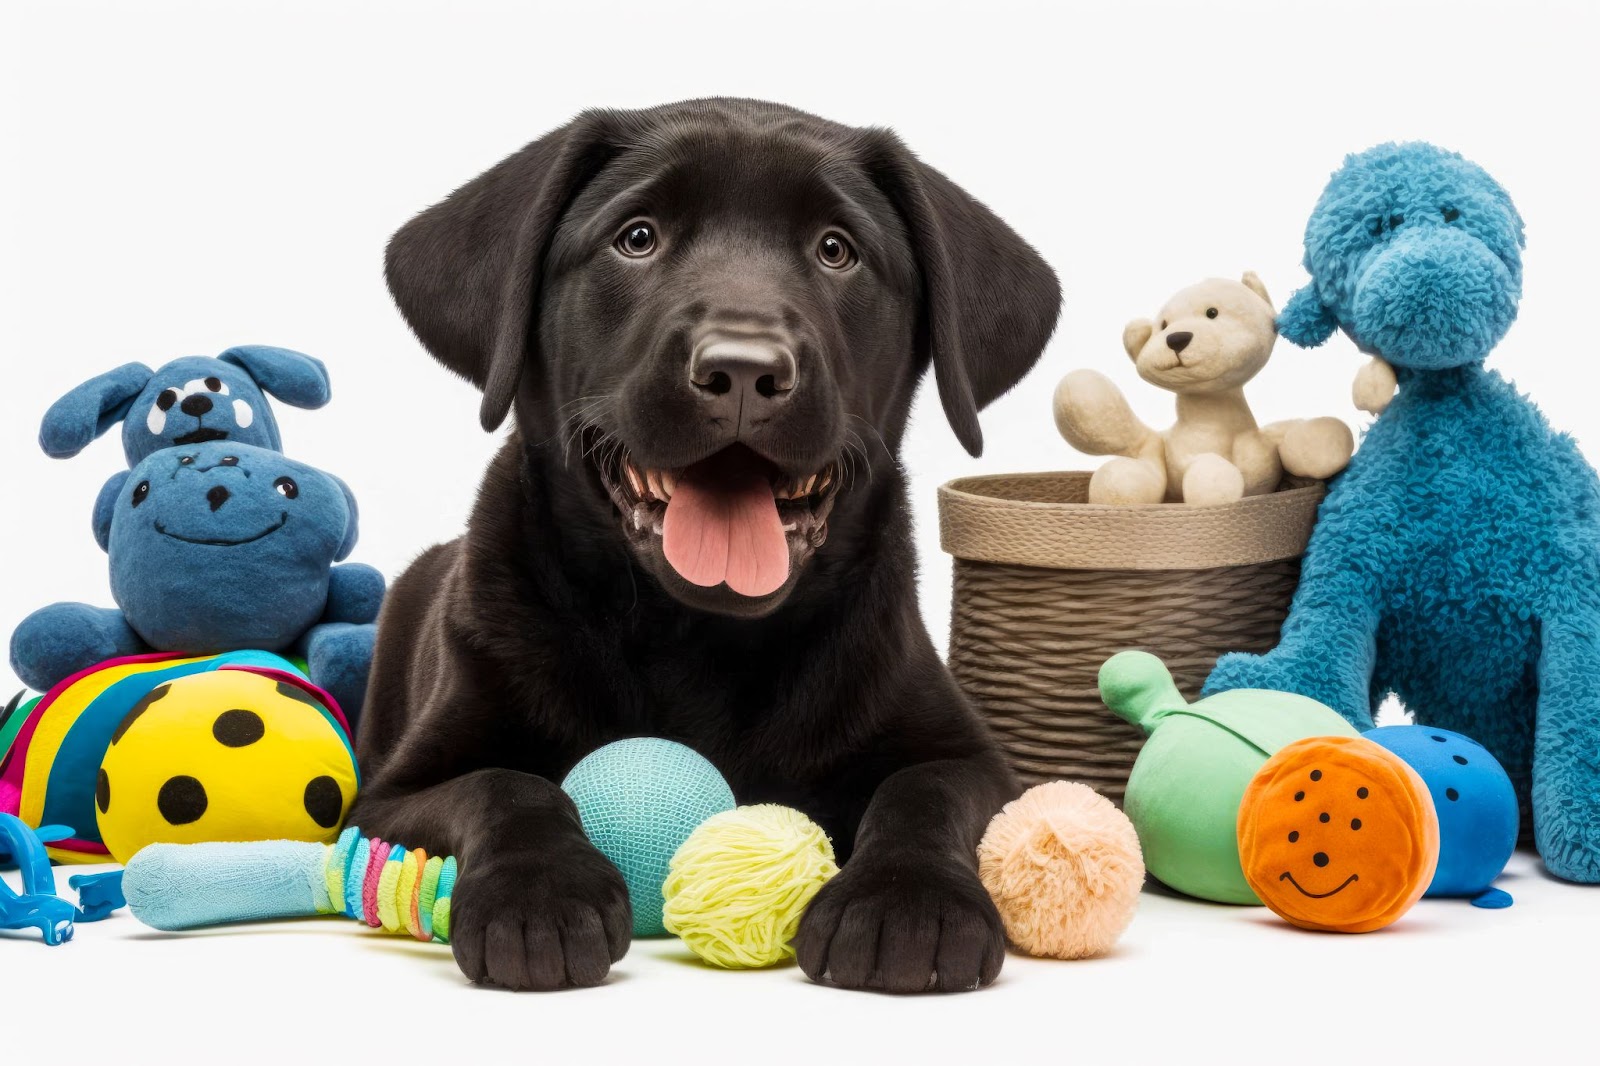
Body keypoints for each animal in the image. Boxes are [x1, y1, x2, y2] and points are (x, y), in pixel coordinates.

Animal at [363, 99, 1062, 985]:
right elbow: (505, 785)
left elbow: (922, 793)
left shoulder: (981, 767)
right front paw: (540, 897)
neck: (696, 637)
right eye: (637, 238)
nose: (743, 371)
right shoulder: (389, 797)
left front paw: (907, 904)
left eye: (837, 249)